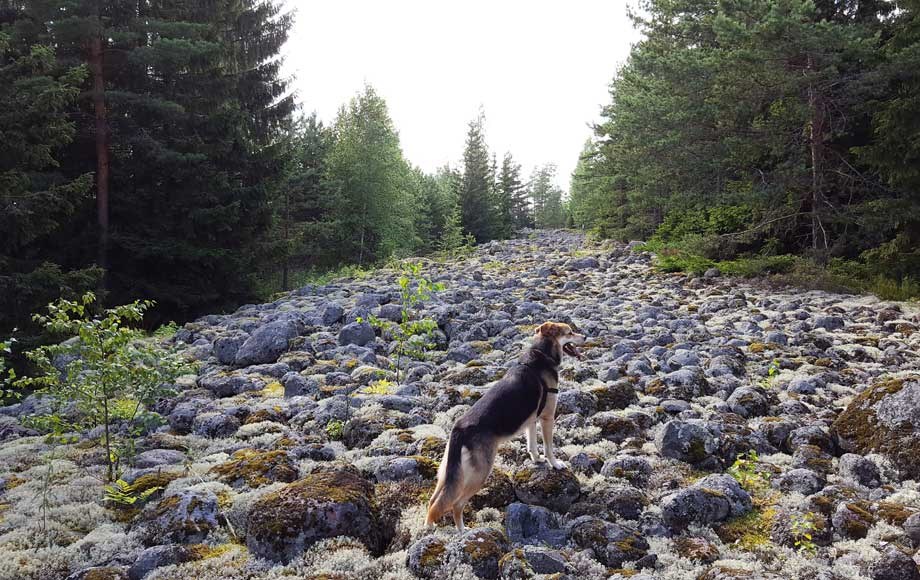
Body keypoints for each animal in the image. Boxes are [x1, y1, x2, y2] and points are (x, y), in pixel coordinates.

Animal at [426, 322, 584, 532]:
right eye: (570, 332)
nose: (585, 337)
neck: (541, 354)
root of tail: (458, 429)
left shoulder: (531, 420)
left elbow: (532, 445)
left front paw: (537, 460)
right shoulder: (547, 418)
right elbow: (549, 448)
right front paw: (555, 464)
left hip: (448, 473)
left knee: (434, 501)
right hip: (480, 473)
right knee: (456, 504)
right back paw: (462, 530)